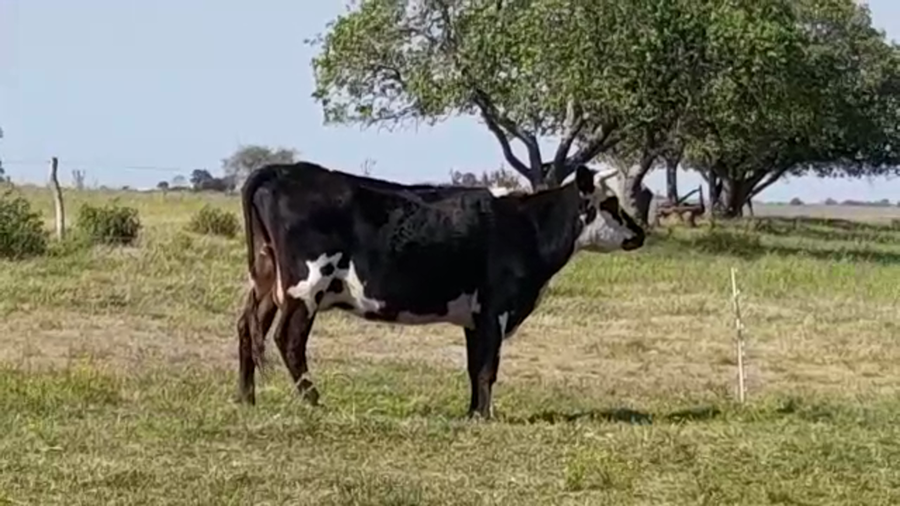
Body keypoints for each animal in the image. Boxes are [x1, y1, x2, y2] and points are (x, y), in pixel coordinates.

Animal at [236, 160, 645, 419]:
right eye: (610, 203)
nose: (640, 233)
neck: (526, 225)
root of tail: (284, 170)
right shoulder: (495, 308)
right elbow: (488, 367)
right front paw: (484, 416)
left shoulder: (475, 317)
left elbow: (474, 365)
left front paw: (472, 412)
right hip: (305, 286)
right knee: (288, 340)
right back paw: (315, 403)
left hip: (266, 280)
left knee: (247, 328)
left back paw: (246, 398)